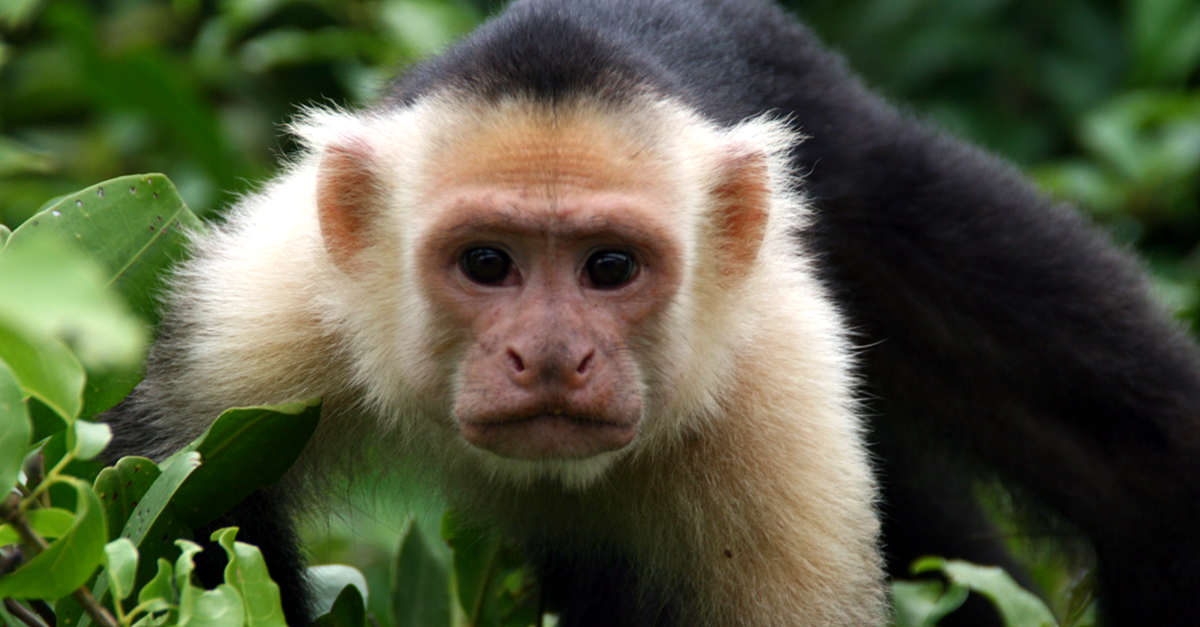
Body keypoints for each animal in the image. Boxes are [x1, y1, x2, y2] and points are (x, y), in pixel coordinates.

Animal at [101, 0, 1200, 626]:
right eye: (487, 263)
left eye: (611, 267)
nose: (551, 356)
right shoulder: (267, 307)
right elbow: (175, 511)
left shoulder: (778, 387)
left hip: (867, 166)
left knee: (1139, 469)